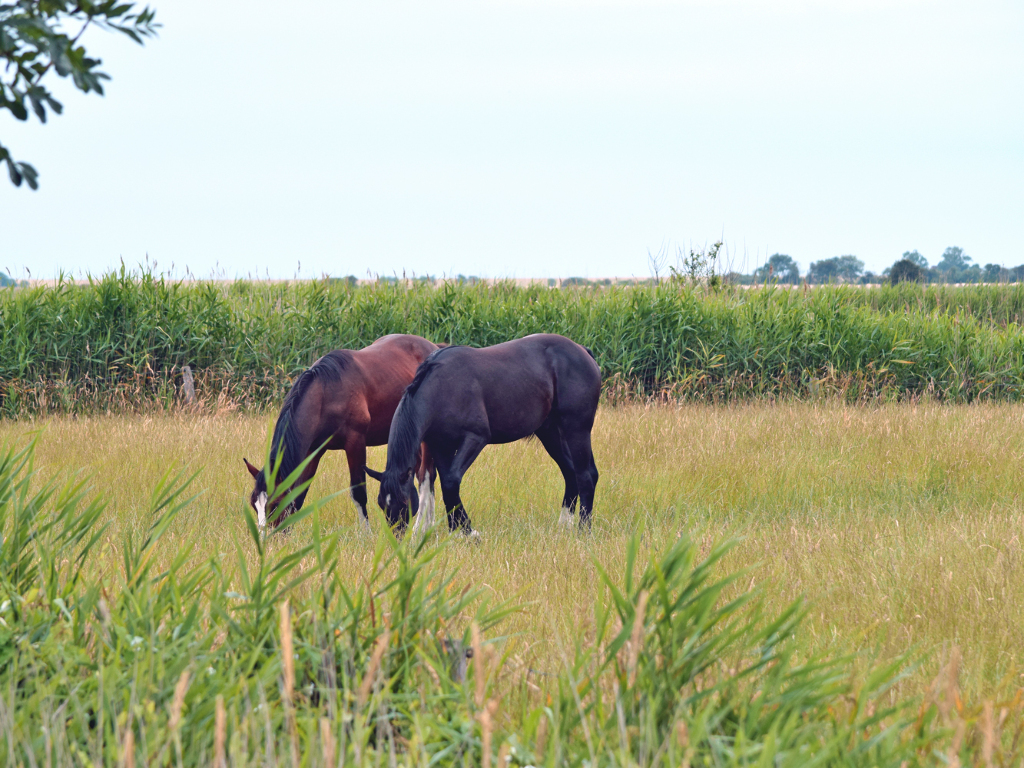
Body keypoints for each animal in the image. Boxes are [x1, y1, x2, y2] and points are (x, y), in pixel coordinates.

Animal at [246, 333, 440, 532]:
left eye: (275, 504)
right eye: (254, 504)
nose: (266, 535)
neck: (327, 393)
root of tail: (433, 347)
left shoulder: (355, 442)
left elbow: (358, 492)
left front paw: (365, 533)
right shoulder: (313, 451)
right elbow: (299, 495)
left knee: (426, 475)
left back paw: (423, 526)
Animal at [366, 333, 598, 536]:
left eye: (404, 502)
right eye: (381, 504)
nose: (397, 536)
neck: (441, 386)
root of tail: (583, 351)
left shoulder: (475, 439)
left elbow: (451, 482)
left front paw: (468, 532)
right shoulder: (441, 446)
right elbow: (447, 484)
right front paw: (457, 530)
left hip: (577, 430)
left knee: (586, 475)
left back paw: (583, 530)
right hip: (550, 433)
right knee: (571, 472)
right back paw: (564, 525)